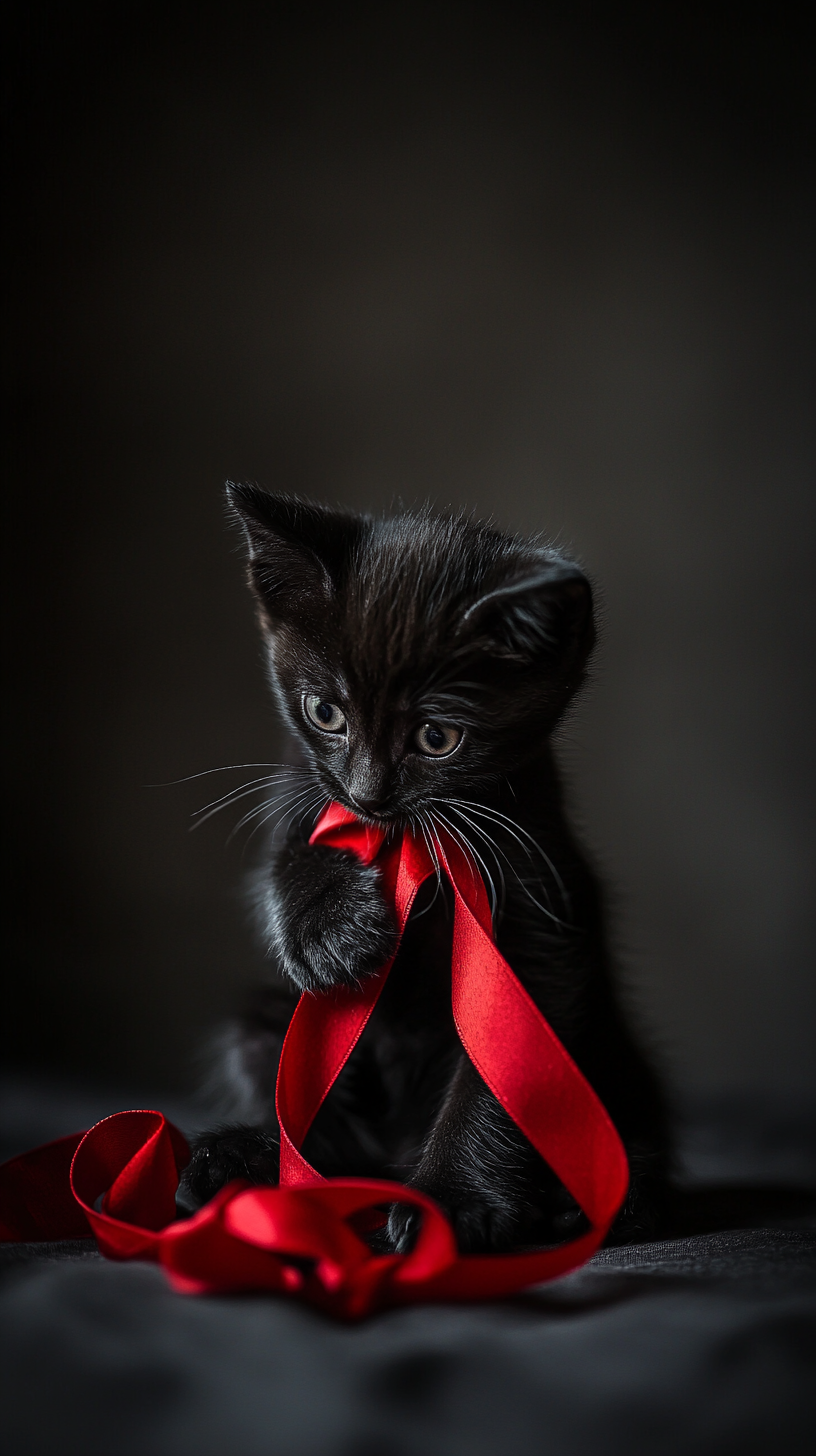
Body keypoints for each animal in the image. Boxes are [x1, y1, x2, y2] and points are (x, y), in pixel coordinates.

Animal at [185, 492, 670, 1252]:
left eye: (436, 737)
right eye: (324, 712)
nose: (369, 793)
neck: (407, 838)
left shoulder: (538, 903)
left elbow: (501, 1059)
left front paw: (451, 1198)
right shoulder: (302, 797)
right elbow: (282, 867)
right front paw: (331, 933)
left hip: (610, 1061)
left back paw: (594, 1202)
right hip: (260, 1027)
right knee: (317, 1122)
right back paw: (244, 1159)